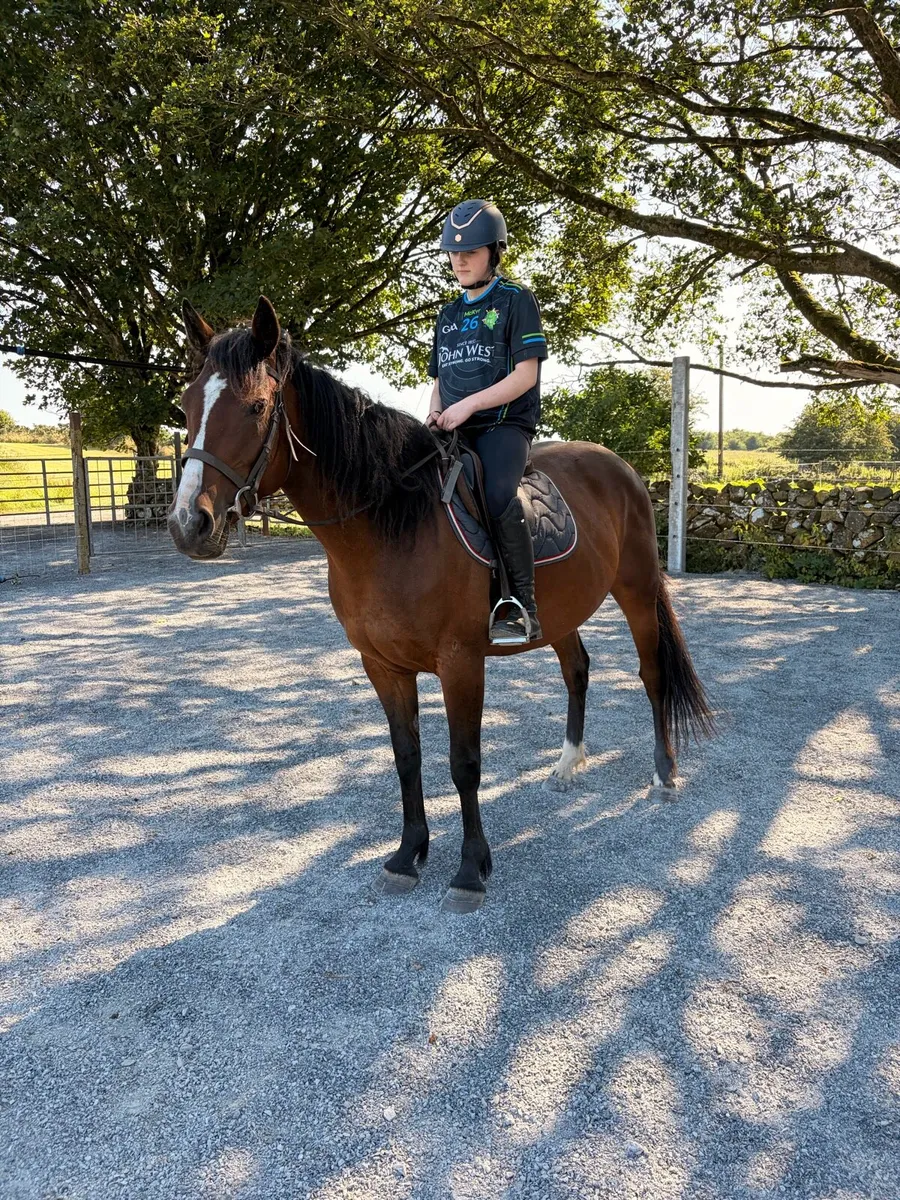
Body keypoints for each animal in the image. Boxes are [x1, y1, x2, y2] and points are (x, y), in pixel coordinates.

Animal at [168, 296, 713, 913]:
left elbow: (464, 764)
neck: (392, 524)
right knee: (577, 670)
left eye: (257, 406)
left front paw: (470, 870)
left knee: (652, 674)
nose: (189, 524)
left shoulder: (460, 661)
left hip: (638, 591)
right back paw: (568, 764)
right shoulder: (382, 665)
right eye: (187, 404)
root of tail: (621, 468)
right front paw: (408, 856)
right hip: (559, 613)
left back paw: (664, 775)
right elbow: (407, 758)